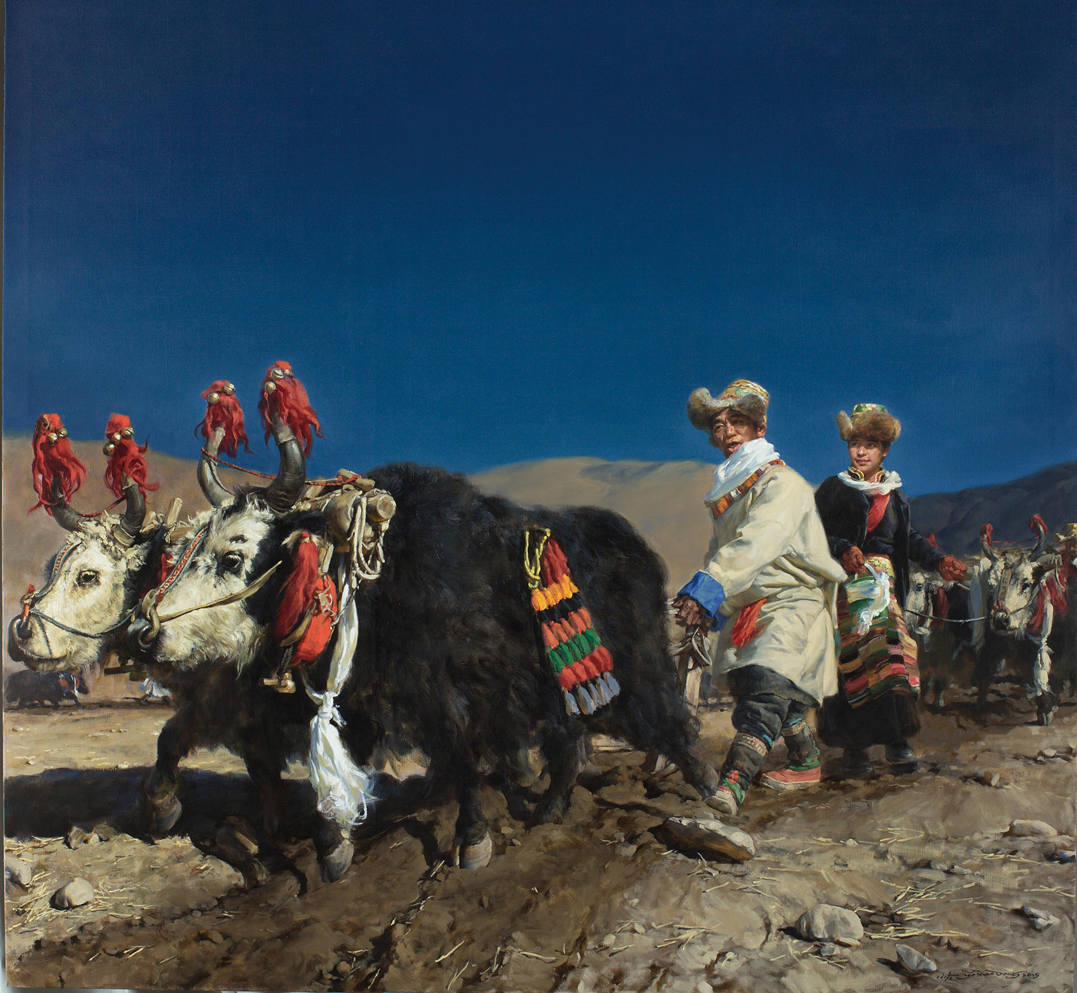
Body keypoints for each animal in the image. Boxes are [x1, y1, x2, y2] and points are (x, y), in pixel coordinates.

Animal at [124, 422, 720, 881]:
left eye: (232, 556)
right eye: (188, 546)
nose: (144, 633)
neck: (370, 574)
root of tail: (633, 543)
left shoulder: (445, 688)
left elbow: (461, 754)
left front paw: (472, 840)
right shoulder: (360, 699)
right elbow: (335, 762)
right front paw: (334, 846)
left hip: (633, 664)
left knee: (664, 718)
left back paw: (710, 786)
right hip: (560, 689)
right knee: (571, 743)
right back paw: (550, 810)